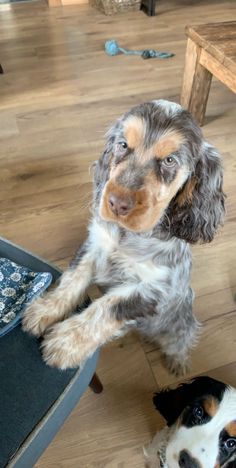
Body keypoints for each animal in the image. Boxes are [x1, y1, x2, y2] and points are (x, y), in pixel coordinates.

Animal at [21, 99, 225, 372]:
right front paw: (44, 310)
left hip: (181, 325)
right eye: (123, 145)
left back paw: (178, 362)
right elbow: (72, 280)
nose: (117, 204)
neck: (127, 236)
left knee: (181, 341)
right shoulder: (94, 245)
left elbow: (106, 308)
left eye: (169, 160)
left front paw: (64, 343)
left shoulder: (151, 289)